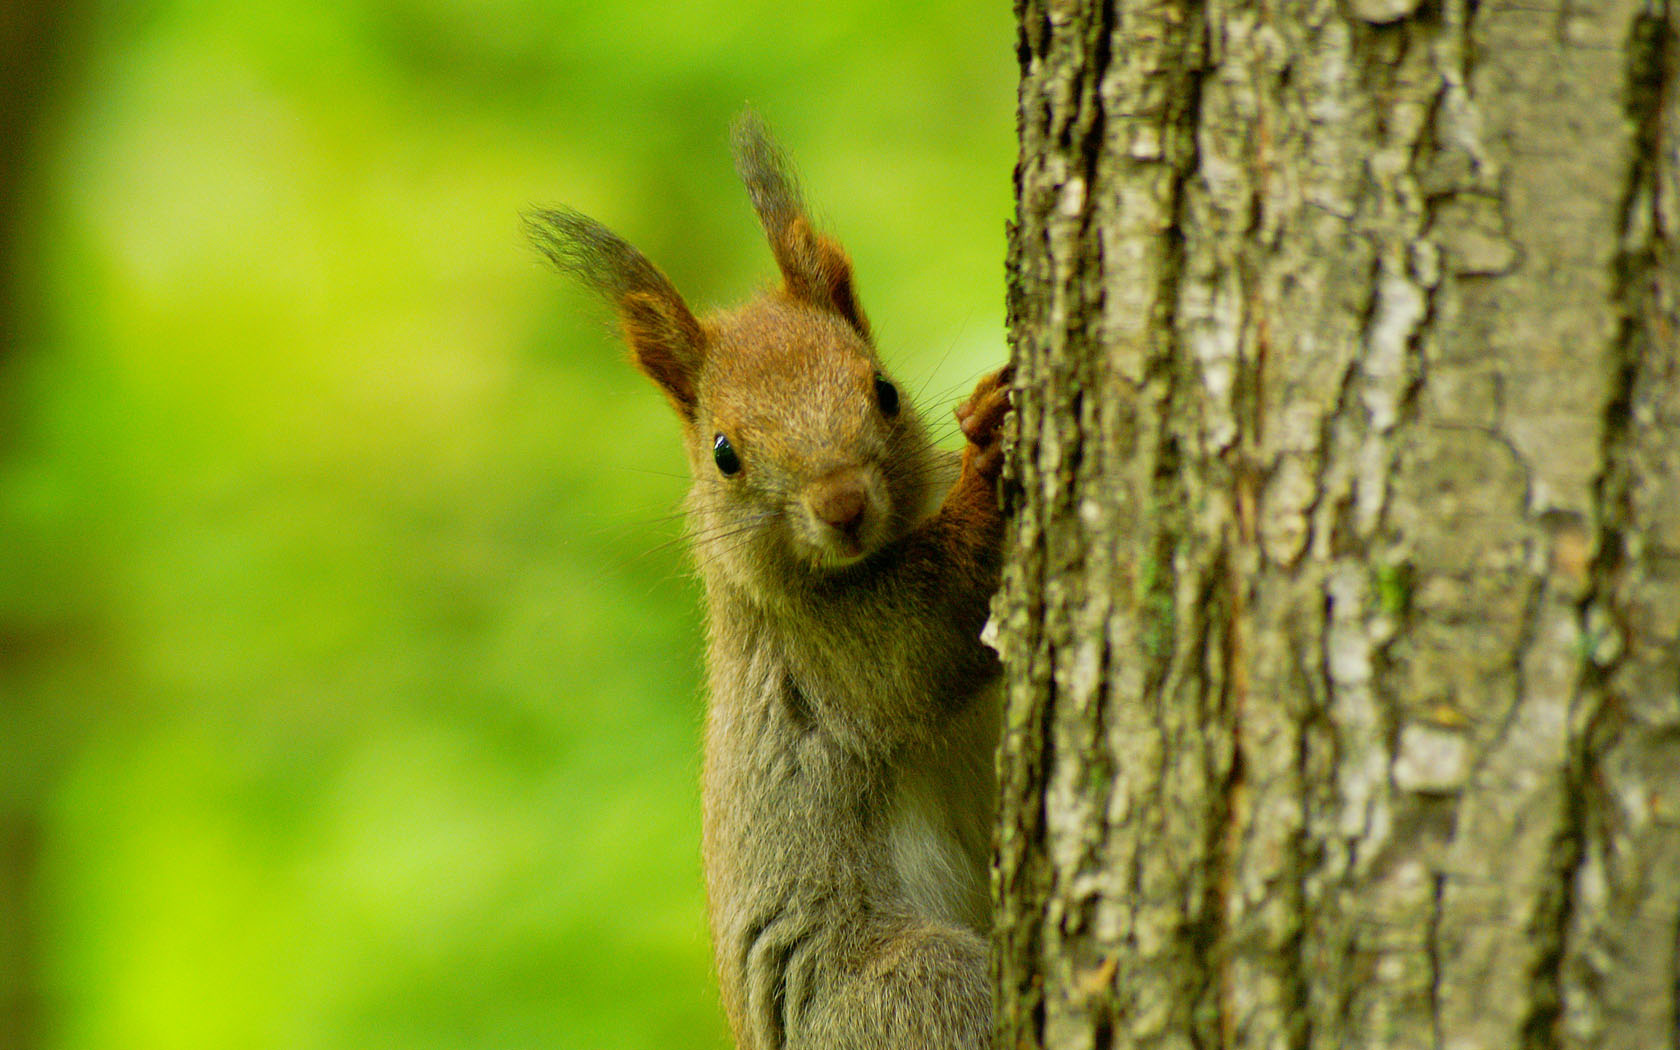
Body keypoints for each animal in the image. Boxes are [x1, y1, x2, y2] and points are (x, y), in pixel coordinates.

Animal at [524, 114, 1007, 1048]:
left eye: (884, 391)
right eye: (725, 453)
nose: (843, 504)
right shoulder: (839, 653)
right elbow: (932, 638)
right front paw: (990, 450)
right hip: (909, 991)